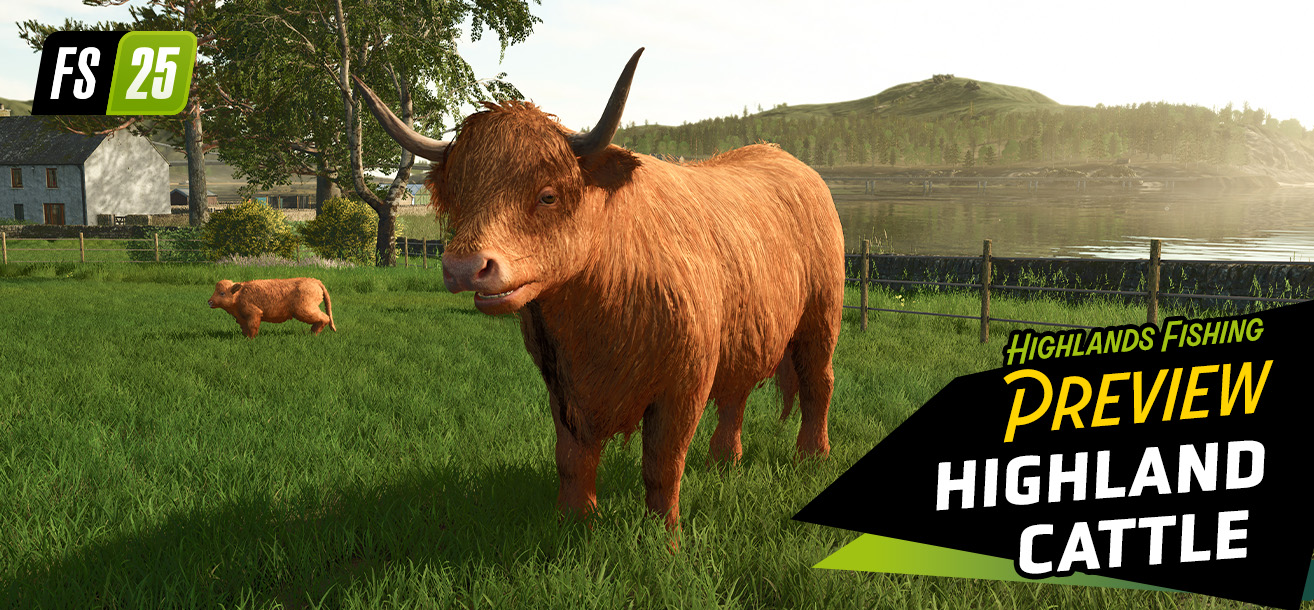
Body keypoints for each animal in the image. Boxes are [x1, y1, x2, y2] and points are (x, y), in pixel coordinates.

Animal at [208, 278, 337, 338]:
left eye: (222, 293)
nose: (209, 302)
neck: (240, 294)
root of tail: (315, 281)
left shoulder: (254, 313)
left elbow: (252, 327)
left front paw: (251, 339)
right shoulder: (242, 318)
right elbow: (245, 328)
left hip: (304, 310)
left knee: (324, 317)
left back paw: (313, 333)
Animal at [353, 48, 844, 529]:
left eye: (548, 195)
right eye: (458, 196)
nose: (464, 267)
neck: (594, 315)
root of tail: (785, 159)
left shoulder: (684, 383)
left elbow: (663, 463)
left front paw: (664, 535)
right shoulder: (562, 385)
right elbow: (572, 458)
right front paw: (574, 520)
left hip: (821, 319)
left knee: (819, 384)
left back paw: (812, 456)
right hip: (744, 331)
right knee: (736, 397)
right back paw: (724, 462)